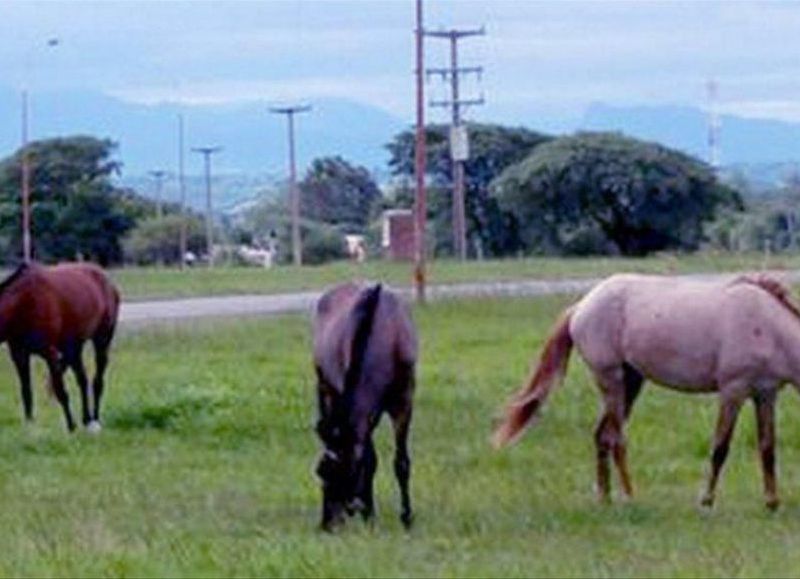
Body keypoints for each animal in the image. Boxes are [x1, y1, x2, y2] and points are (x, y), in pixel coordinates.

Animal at [0, 262, 120, 430]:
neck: (22, 303)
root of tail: (108, 281)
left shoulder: (50, 353)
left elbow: (60, 390)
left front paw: (71, 426)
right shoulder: (19, 354)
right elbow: (26, 391)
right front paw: (30, 425)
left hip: (102, 340)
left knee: (98, 381)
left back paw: (95, 419)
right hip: (74, 347)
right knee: (82, 380)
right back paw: (87, 419)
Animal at [310, 284, 416, 532]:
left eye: (330, 471)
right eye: (320, 472)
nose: (327, 524)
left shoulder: (404, 401)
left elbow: (401, 461)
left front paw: (406, 517)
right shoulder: (363, 412)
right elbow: (370, 460)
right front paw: (369, 514)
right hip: (325, 387)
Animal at [490, 274, 800, 510]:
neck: (767, 326)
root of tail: (581, 306)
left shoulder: (766, 394)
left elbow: (767, 448)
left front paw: (772, 501)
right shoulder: (732, 391)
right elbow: (720, 448)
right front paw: (706, 501)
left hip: (631, 382)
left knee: (602, 436)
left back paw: (605, 498)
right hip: (611, 380)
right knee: (616, 438)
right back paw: (630, 496)